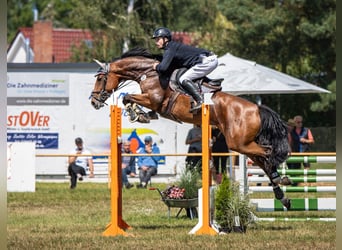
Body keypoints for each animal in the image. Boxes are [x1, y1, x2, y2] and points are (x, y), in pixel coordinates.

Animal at [90, 47, 292, 209]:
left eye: (100, 78)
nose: (93, 101)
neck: (150, 73)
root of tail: (256, 108)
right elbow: (131, 99)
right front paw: (141, 114)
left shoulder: (154, 100)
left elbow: (128, 97)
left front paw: (136, 113)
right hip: (244, 144)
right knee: (262, 160)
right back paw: (282, 193)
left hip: (238, 143)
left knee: (268, 153)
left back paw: (280, 182)